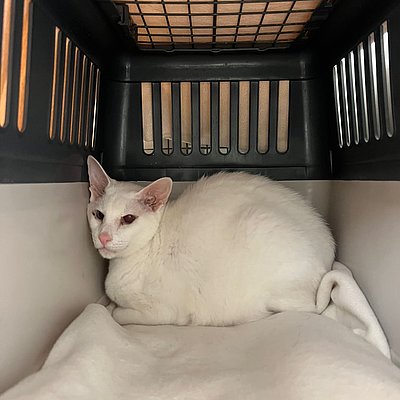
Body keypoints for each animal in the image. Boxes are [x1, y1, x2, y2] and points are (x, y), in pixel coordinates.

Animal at [87, 156, 335, 326]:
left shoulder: (162, 312)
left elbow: (117, 313)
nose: (103, 237)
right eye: (98, 215)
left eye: (128, 219)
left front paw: (112, 309)